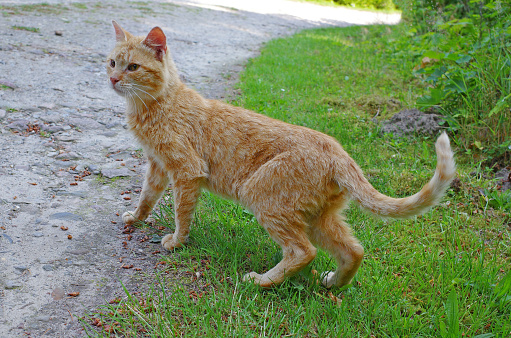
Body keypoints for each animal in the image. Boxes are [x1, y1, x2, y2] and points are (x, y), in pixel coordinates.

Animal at [105, 21, 456, 288]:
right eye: (112, 62)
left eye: (133, 67)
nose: (113, 79)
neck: (156, 105)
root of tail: (340, 153)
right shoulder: (158, 165)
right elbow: (147, 197)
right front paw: (135, 218)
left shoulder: (186, 172)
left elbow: (182, 212)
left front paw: (176, 241)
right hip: (318, 218)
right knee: (354, 250)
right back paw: (333, 284)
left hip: (262, 196)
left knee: (303, 251)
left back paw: (261, 281)